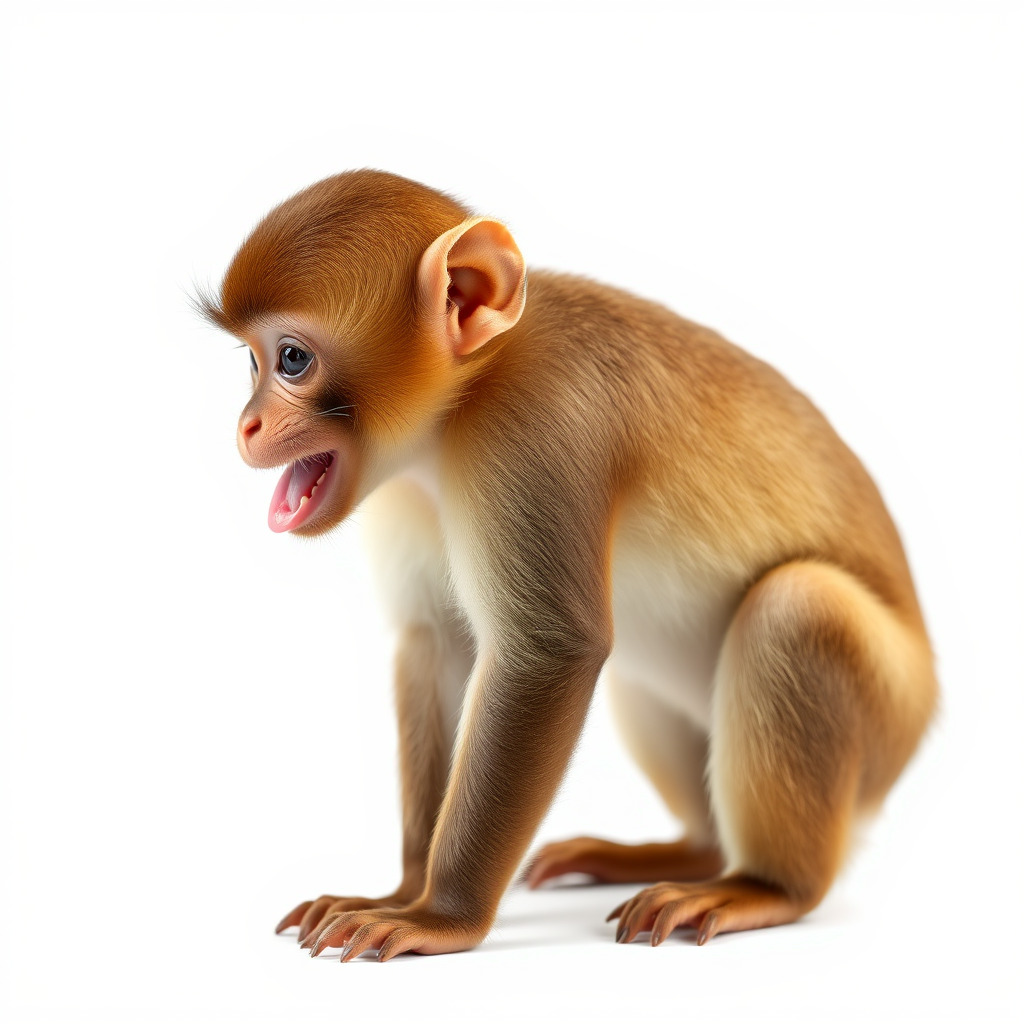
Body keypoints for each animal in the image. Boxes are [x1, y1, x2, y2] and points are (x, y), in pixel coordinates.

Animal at [201, 169, 938, 962]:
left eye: (292, 359)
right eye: (251, 361)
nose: (245, 425)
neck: (471, 390)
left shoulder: (534, 428)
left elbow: (548, 654)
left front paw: (440, 916)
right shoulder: (409, 488)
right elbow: (436, 645)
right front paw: (402, 888)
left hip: (891, 714)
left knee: (796, 606)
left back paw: (764, 886)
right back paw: (689, 853)